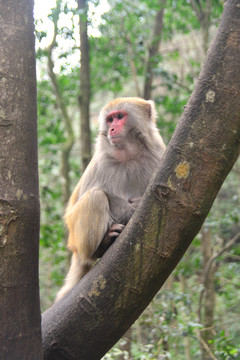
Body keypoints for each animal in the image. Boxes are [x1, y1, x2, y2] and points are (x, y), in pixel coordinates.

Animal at [55, 97, 166, 302]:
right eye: (110, 119)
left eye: (120, 116)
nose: (112, 129)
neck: (129, 155)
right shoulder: (102, 161)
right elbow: (91, 197)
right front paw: (132, 208)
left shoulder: (157, 154)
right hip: (77, 237)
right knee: (95, 197)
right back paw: (101, 245)